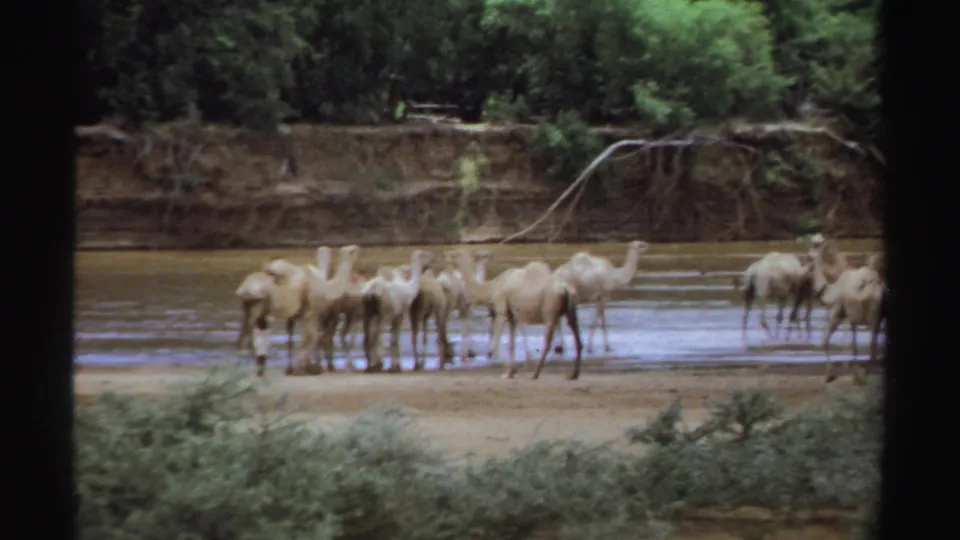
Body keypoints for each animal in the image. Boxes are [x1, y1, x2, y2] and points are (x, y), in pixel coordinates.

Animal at [263, 245, 361, 375]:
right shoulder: (310, 313)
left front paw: (298, 368)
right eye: (352, 251)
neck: (327, 287)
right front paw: (305, 368)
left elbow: (303, 338)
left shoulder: (299, 316)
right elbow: (312, 337)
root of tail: (270, 269)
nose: (358, 247)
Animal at [452, 248, 583, 380]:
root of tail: (566, 288)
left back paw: (535, 374)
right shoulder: (512, 317)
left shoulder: (501, 312)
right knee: (577, 338)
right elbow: (511, 344)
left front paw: (509, 372)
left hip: (549, 312)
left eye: (457, 254)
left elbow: (494, 345)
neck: (492, 288)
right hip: (571, 310)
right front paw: (511, 371)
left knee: (547, 341)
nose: (449, 255)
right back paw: (574, 374)